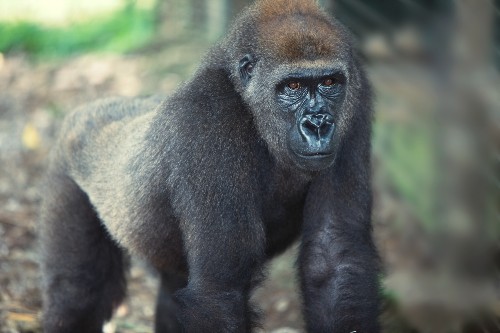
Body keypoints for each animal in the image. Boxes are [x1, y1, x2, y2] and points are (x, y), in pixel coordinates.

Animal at [40, 0, 378, 332]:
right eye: (292, 86)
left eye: (330, 82)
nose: (318, 125)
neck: (248, 103)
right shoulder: (208, 116)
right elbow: (219, 290)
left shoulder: (357, 96)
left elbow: (334, 256)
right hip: (67, 168)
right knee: (77, 292)